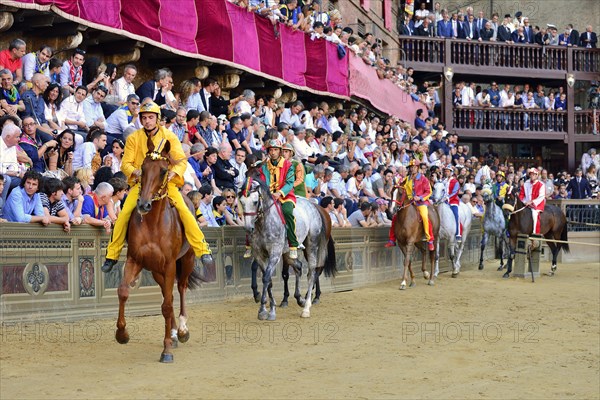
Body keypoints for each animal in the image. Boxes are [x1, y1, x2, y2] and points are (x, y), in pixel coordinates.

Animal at [115, 137, 204, 362]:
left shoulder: (171, 263)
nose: (144, 204)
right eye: (143, 168)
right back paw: (173, 333)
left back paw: (181, 330)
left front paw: (167, 350)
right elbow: (123, 291)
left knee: (180, 289)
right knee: (167, 293)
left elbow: (167, 304)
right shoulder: (135, 260)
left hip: (186, 260)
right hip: (156, 270)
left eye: (164, 171)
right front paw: (122, 334)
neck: (152, 224)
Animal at [238, 180, 336, 320]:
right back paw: (302, 299)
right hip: (291, 252)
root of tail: (314, 207)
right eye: (241, 202)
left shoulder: (275, 252)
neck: (264, 223)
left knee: (313, 272)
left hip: (312, 246)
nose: (248, 227)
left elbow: (267, 277)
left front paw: (264, 309)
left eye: (255, 202)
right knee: (299, 267)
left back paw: (307, 305)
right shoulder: (259, 254)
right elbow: (268, 279)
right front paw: (269, 308)